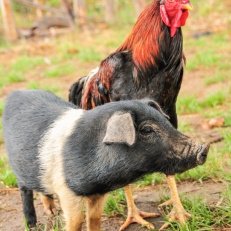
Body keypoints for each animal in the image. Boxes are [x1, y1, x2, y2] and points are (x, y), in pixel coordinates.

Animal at [2, 90, 209, 231]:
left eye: (166, 121)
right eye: (147, 130)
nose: (204, 148)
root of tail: (15, 93)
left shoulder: (98, 194)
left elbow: (94, 220)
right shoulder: (67, 192)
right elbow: (76, 222)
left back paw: (51, 212)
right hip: (18, 170)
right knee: (25, 192)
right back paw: (31, 225)